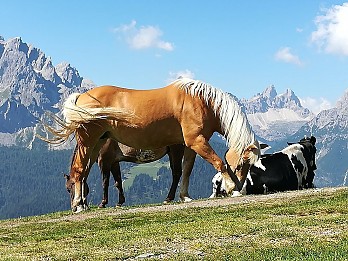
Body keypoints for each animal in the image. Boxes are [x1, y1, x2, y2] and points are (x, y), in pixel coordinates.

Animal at [57, 77, 260, 211]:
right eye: (241, 164)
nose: (241, 187)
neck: (201, 101)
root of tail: (81, 97)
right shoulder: (196, 141)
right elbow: (219, 162)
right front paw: (231, 187)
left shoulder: (190, 145)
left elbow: (186, 170)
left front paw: (184, 196)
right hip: (88, 140)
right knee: (79, 170)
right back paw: (78, 204)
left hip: (96, 143)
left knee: (83, 172)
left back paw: (82, 203)